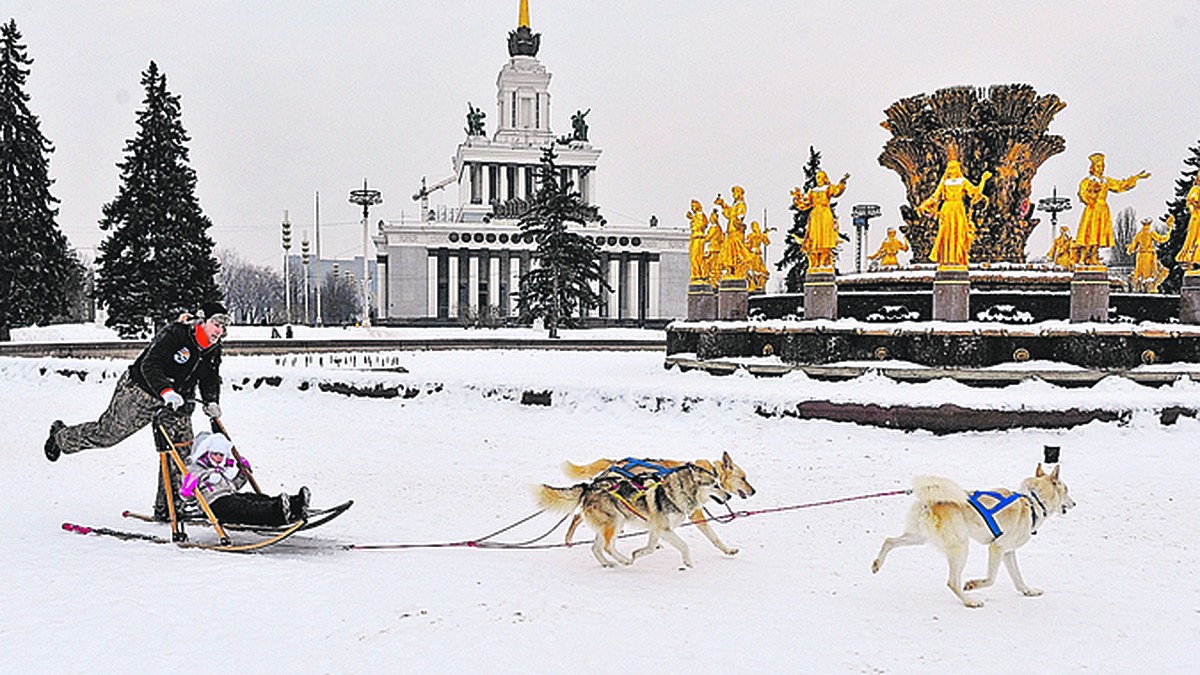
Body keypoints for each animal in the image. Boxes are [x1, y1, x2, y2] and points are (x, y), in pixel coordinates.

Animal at [540, 451, 753, 566]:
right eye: (744, 478)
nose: (754, 491)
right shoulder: (688, 518)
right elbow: (705, 539)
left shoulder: (659, 527)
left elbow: (650, 545)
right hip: (616, 519)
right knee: (586, 525)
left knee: (593, 539)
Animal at [868, 461, 1075, 605]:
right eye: (1066, 490)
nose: (1074, 503)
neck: (1033, 501)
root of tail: (931, 500)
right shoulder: (997, 547)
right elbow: (991, 579)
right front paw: (972, 585)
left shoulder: (1008, 552)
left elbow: (1018, 578)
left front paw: (1028, 591)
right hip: (961, 547)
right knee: (952, 582)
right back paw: (970, 601)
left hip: (919, 537)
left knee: (889, 541)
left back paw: (877, 564)